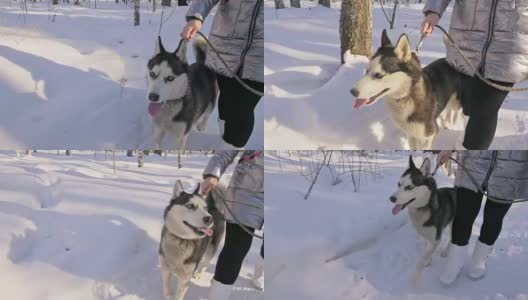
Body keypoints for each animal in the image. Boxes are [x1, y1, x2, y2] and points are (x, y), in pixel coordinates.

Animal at [388, 156, 458, 284]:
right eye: (398, 184)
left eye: (409, 187)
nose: (391, 198)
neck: (424, 207)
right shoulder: (426, 236)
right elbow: (427, 249)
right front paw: (428, 260)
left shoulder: (436, 239)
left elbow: (421, 260)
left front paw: (415, 278)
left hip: (454, 224)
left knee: (452, 239)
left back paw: (446, 252)